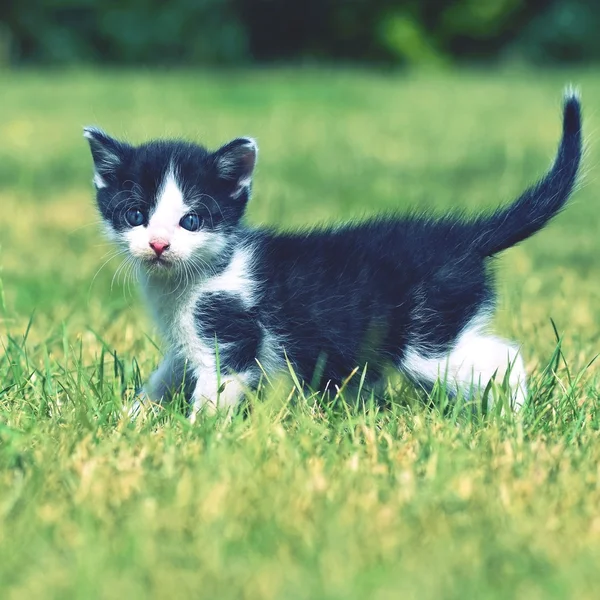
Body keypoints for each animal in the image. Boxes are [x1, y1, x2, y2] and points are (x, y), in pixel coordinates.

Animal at [84, 94, 580, 420]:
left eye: (191, 220)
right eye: (135, 215)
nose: (158, 244)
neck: (192, 279)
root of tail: (462, 239)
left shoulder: (231, 334)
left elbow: (218, 389)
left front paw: (194, 437)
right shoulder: (186, 342)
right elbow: (165, 376)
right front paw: (133, 418)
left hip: (427, 339)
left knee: (502, 357)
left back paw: (513, 418)